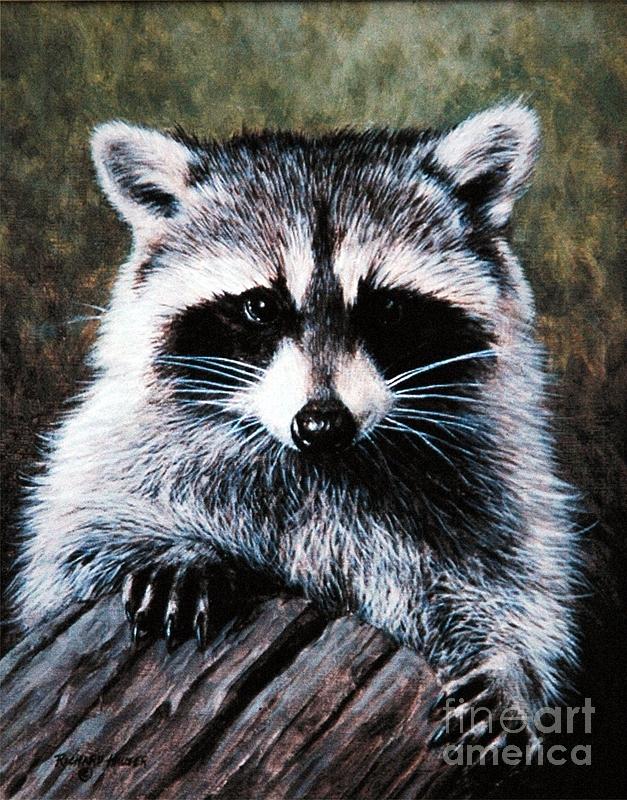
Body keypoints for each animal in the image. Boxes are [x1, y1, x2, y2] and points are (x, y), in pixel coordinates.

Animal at [14, 101, 581, 750]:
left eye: (388, 307)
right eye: (261, 306)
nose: (321, 423)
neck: (326, 466)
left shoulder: (493, 488)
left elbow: (509, 587)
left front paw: (512, 665)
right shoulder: (123, 443)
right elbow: (72, 549)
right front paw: (175, 547)